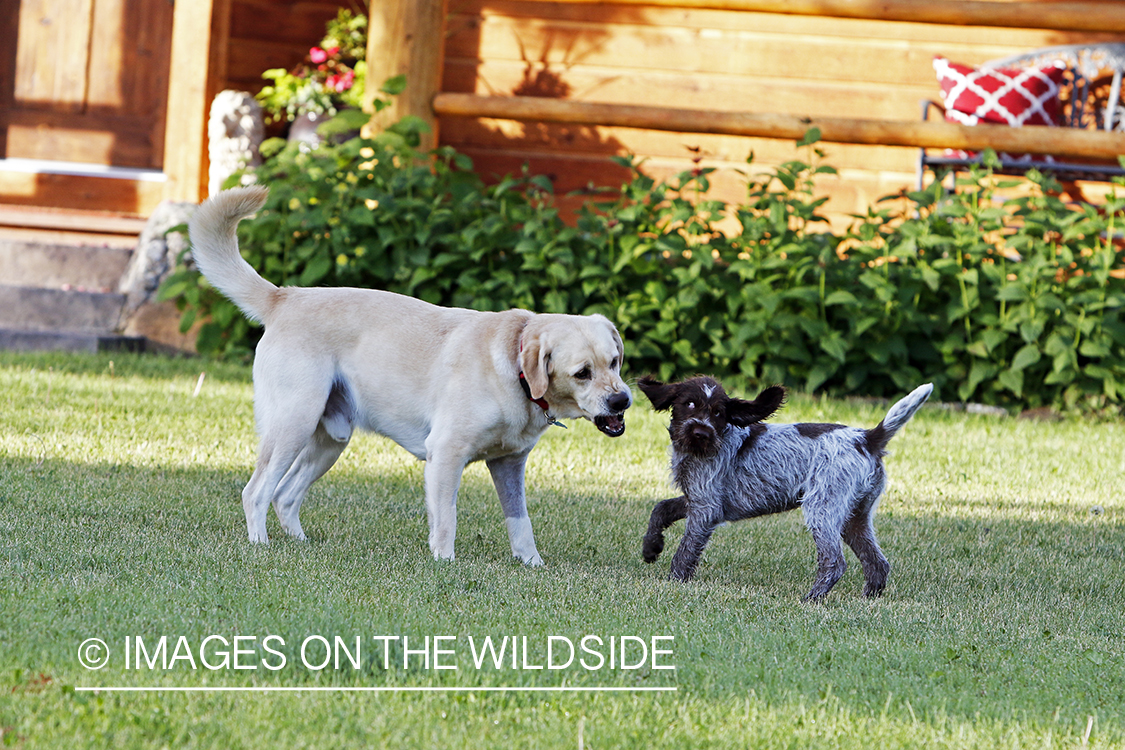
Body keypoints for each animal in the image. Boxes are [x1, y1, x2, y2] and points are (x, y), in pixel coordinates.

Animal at [643, 377, 931, 602]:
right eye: (689, 404)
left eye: (718, 413)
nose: (701, 433)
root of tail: (867, 438)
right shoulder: (697, 499)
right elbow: (661, 508)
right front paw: (651, 546)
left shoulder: (706, 509)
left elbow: (685, 552)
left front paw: (673, 583)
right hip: (854, 518)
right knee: (877, 563)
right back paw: (868, 600)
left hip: (821, 508)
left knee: (834, 562)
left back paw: (812, 599)